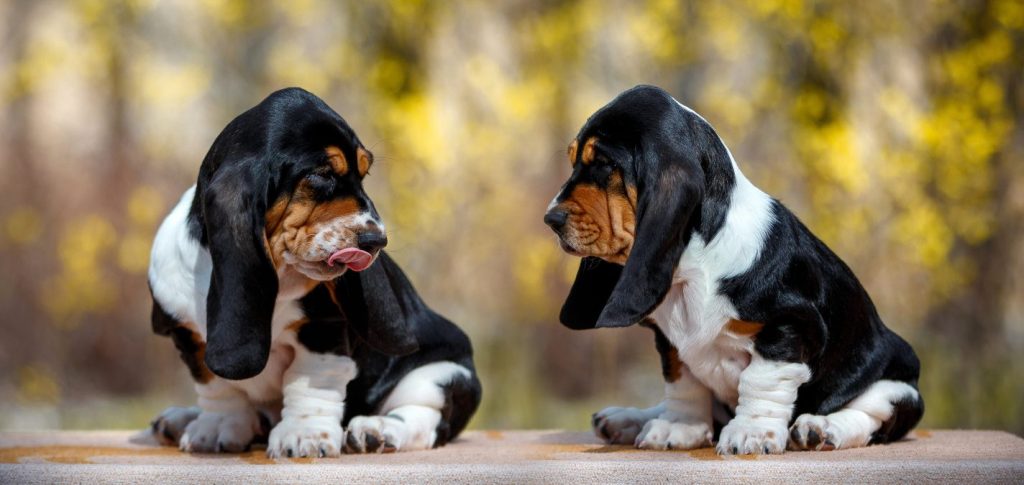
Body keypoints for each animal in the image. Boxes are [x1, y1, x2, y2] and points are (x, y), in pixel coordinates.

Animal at [146, 87, 481, 458]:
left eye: (363, 174)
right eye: (322, 175)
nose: (377, 240)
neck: (281, 272)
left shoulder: (323, 332)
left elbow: (309, 382)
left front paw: (303, 434)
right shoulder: (188, 337)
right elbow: (218, 385)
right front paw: (218, 424)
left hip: (444, 372)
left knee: (427, 418)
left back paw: (376, 430)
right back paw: (180, 419)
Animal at [548, 84, 925, 454]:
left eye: (603, 163)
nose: (550, 219)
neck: (694, 269)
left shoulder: (791, 327)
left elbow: (760, 381)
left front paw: (751, 432)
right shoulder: (670, 341)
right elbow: (682, 381)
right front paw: (679, 426)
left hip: (898, 385)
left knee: (872, 415)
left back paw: (821, 428)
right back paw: (625, 419)